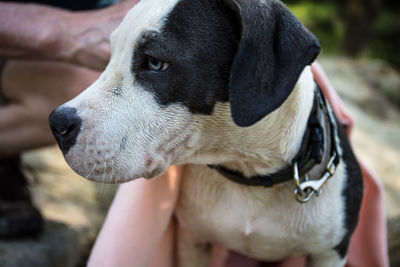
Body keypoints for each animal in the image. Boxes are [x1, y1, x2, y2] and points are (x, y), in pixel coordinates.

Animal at [48, 0, 364, 266]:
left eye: (155, 63)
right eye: (110, 55)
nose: (56, 123)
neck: (249, 171)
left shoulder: (329, 252)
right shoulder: (192, 239)